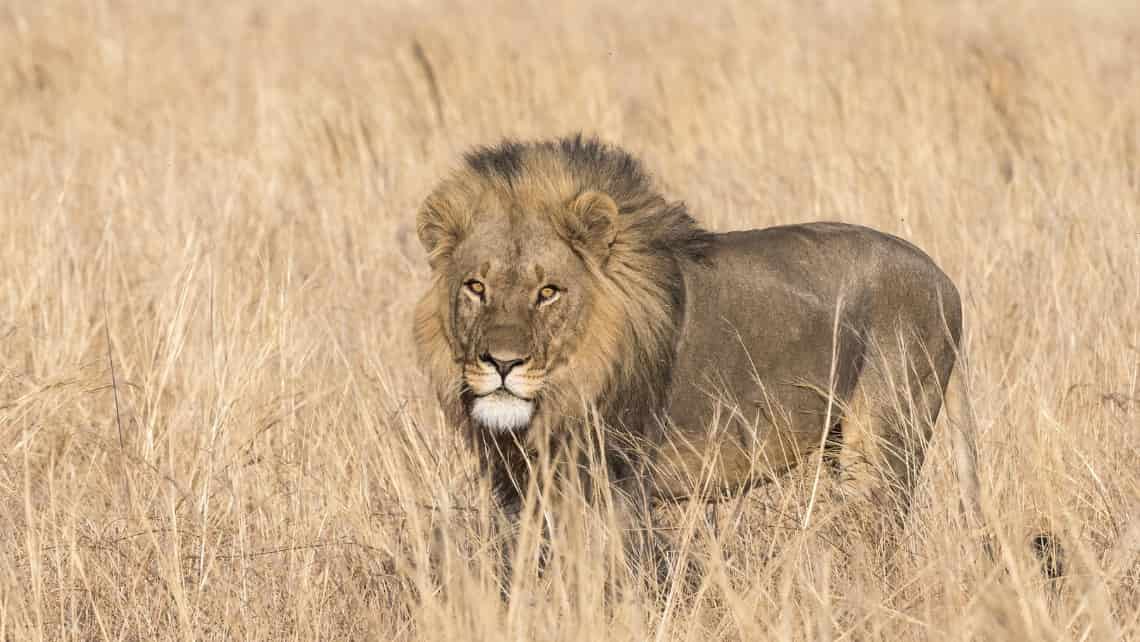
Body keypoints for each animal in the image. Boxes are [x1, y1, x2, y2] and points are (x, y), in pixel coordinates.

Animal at [414, 134, 1062, 588]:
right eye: (475, 287)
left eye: (548, 291)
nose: (501, 362)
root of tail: (944, 278)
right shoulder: (516, 487)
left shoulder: (620, 481)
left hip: (883, 445)